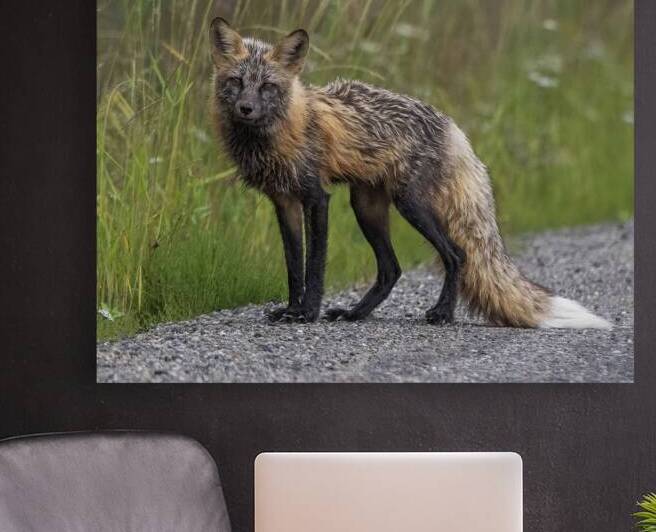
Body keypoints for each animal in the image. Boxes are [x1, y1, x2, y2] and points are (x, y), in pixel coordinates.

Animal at [208, 17, 611, 329]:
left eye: (267, 87)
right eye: (236, 83)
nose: (245, 108)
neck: (278, 134)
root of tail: (453, 128)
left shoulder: (316, 196)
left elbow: (315, 266)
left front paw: (308, 313)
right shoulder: (284, 202)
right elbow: (294, 266)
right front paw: (293, 310)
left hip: (410, 205)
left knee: (457, 256)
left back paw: (443, 314)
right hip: (367, 208)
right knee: (391, 269)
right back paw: (356, 314)